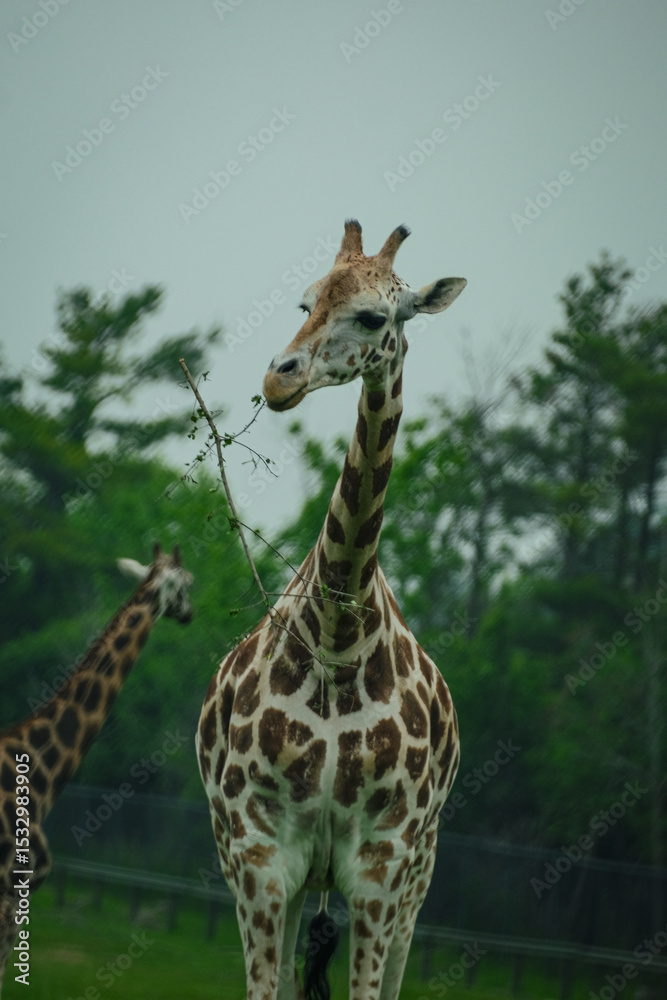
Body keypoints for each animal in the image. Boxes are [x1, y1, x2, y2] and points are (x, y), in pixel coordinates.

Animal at [197, 220, 465, 1000]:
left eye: (374, 317)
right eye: (305, 300)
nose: (278, 378)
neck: (338, 636)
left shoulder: (382, 864)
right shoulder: (258, 853)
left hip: (420, 873)